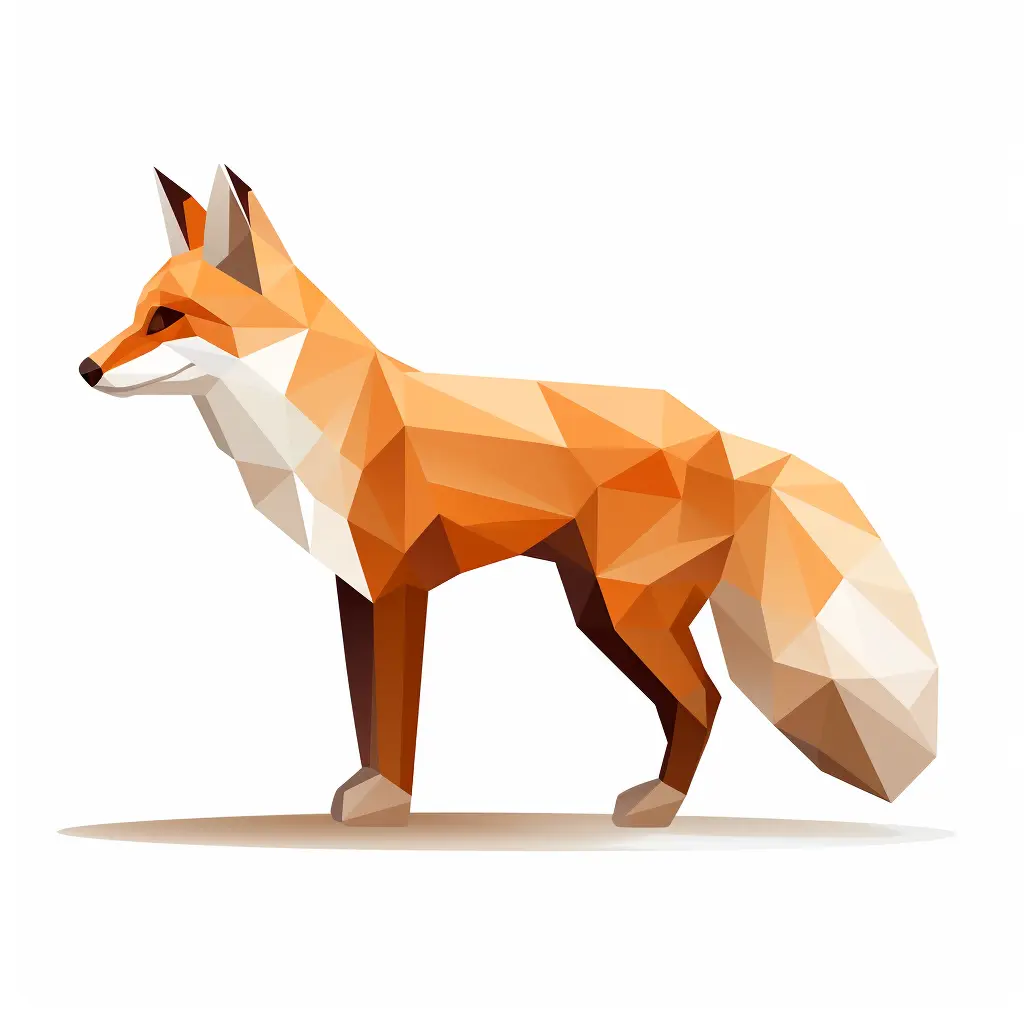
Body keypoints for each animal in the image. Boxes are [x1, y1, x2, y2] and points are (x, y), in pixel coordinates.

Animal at [79, 166, 938, 827]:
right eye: (135, 312)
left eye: (168, 319)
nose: (85, 369)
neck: (309, 417)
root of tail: (719, 438)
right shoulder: (356, 591)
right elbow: (364, 714)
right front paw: (365, 788)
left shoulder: (399, 588)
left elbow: (394, 721)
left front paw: (388, 804)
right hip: (599, 610)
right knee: (692, 703)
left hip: (627, 617)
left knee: (705, 700)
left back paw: (658, 807)